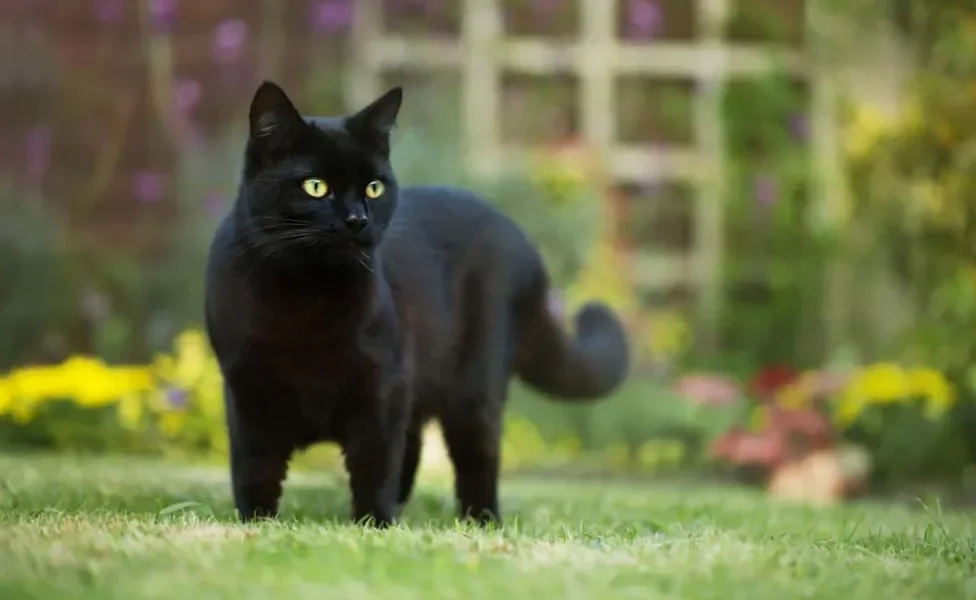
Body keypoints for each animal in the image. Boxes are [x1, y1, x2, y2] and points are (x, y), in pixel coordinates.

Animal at [206, 82, 632, 528]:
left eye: (374, 187)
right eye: (315, 186)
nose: (358, 219)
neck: (307, 299)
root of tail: (519, 238)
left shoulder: (382, 387)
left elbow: (375, 466)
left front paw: (373, 525)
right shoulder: (246, 390)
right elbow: (255, 468)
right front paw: (256, 523)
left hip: (473, 386)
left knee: (474, 457)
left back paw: (480, 520)